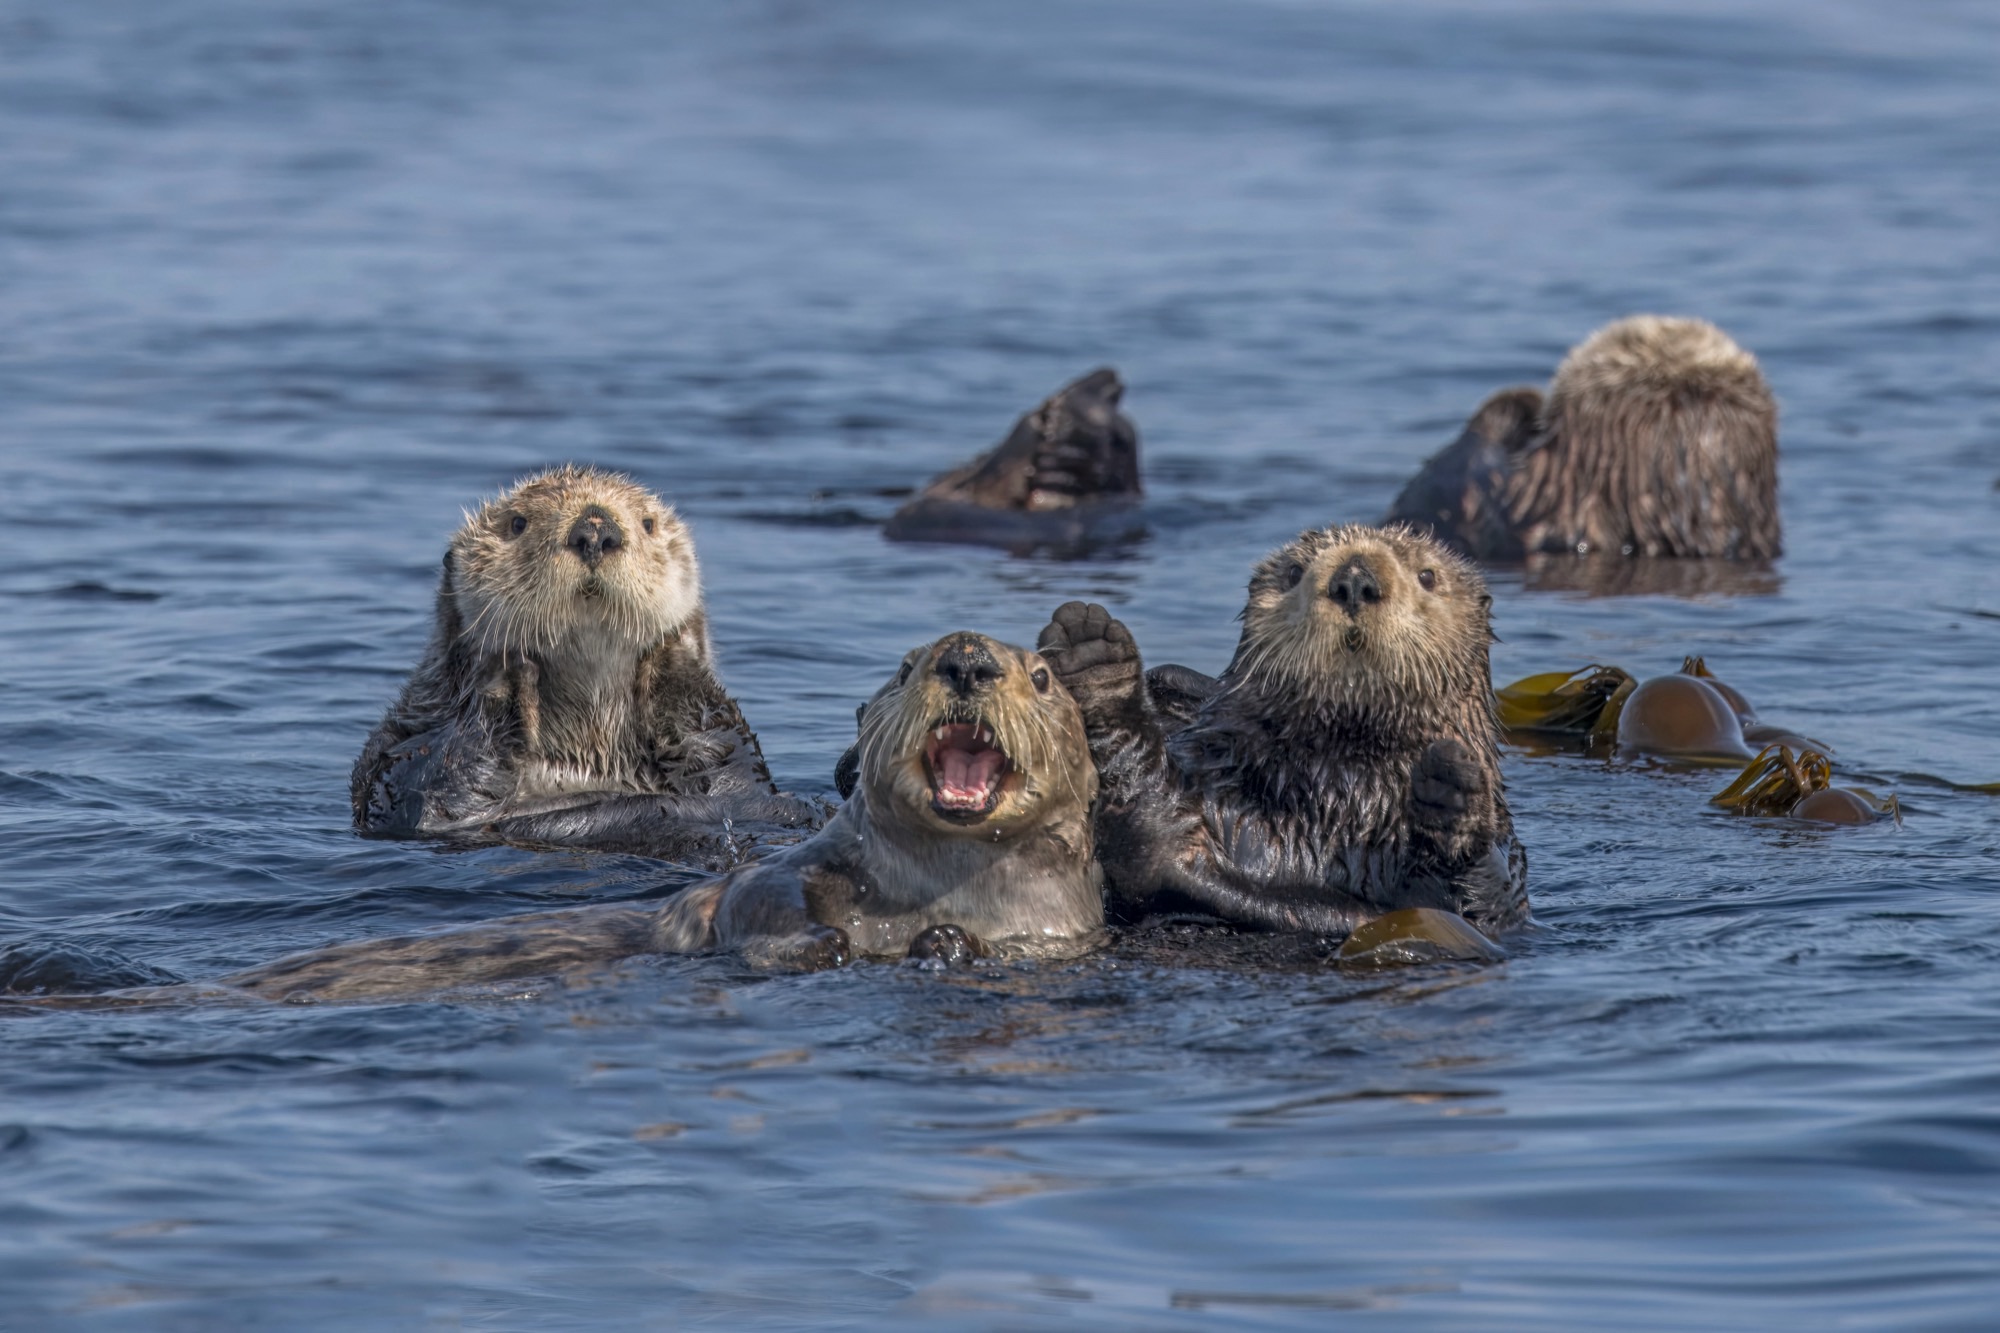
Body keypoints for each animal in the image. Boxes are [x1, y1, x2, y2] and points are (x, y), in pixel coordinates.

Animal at [213, 632, 1101, 1001]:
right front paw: (821, 943)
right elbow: (758, 902)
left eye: (1043, 676)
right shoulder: (793, 869)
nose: (967, 658)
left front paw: (949, 944)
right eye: (907, 664)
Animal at [352, 465, 821, 866]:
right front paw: (505, 668)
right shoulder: (396, 761)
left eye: (648, 523)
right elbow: (441, 795)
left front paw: (671, 652)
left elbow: (734, 775)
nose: (595, 530)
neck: (589, 746)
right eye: (517, 523)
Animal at [1038, 523, 1528, 938]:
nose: (1354, 579)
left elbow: (1479, 901)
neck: (1337, 782)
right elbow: (1146, 845)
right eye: (1294, 572)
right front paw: (1094, 657)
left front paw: (1452, 788)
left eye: (1428, 576)